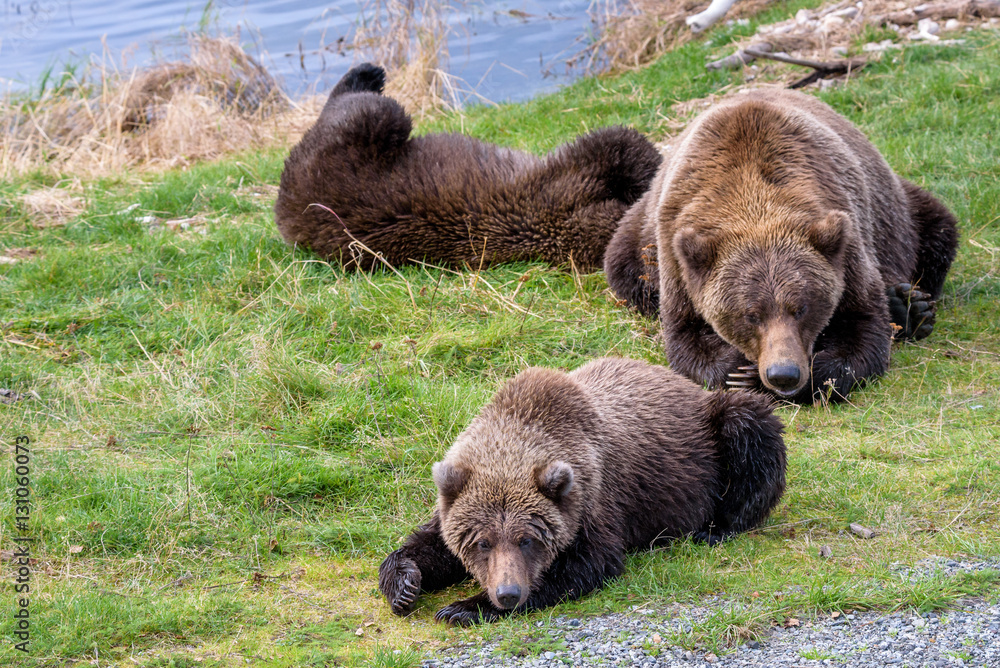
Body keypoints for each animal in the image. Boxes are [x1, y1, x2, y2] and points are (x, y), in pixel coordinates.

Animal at [378, 357, 786, 625]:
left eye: (527, 540)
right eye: (482, 542)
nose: (507, 594)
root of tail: (682, 380)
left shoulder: (595, 500)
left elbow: (586, 564)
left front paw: (461, 607)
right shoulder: (457, 495)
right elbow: (428, 545)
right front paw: (405, 584)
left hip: (710, 437)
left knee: (748, 424)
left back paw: (714, 528)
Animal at [603, 88, 959, 402]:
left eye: (801, 308)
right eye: (750, 314)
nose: (783, 374)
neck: (753, 194)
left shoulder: (848, 241)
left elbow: (864, 327)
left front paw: (818, 375)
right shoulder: (677, 255)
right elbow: (685, 337)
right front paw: (738, 374)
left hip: (898, 213)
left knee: (937, 229)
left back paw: (911, 306)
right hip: (639, 233)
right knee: (627, 272)